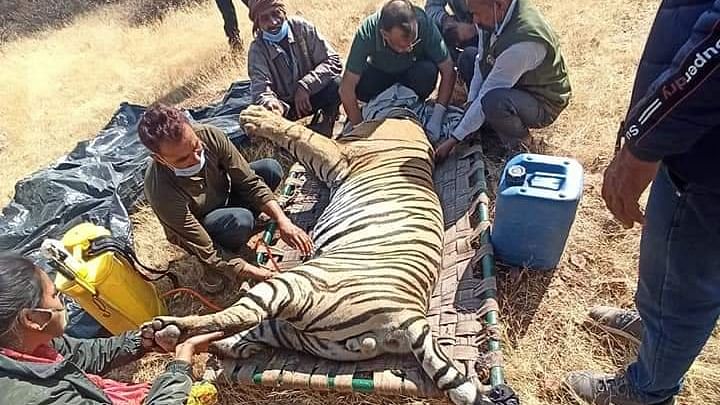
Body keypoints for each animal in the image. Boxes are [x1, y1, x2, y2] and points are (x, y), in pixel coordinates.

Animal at [146, 105, 496, 404]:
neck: (406, 121)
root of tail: (409, 317)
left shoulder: (335, 156)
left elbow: (298, 134)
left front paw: (256, 117)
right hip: (301, 333)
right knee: (242, 335)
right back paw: (191, 339)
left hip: (294, 285)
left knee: (238, 317)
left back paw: (163, 329)